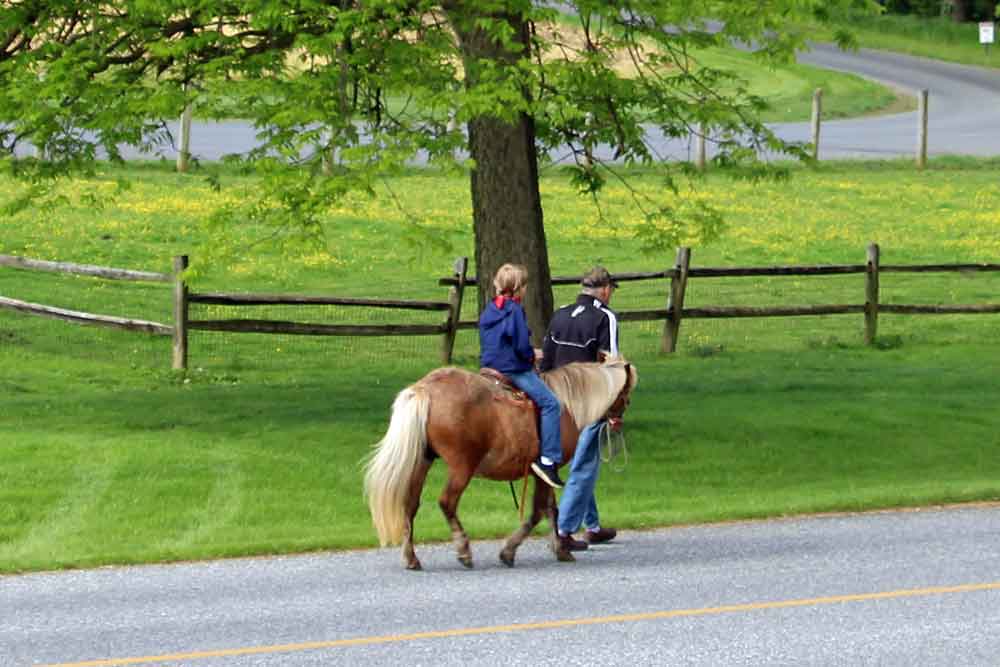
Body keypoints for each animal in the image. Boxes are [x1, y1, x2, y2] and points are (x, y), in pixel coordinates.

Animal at [364, 358, 636, 572]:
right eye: (626, 396)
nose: (617, 423)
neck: (565, 405)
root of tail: (425, 389)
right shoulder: (548, 469)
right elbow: (538, 511)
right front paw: (509, 551)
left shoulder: (544, 474)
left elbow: (551, 510)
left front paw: (560, 549)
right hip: (461, 467)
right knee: (447, 502)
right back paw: (463, 549)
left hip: (423, 460)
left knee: (410, 505)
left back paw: (412, 558)